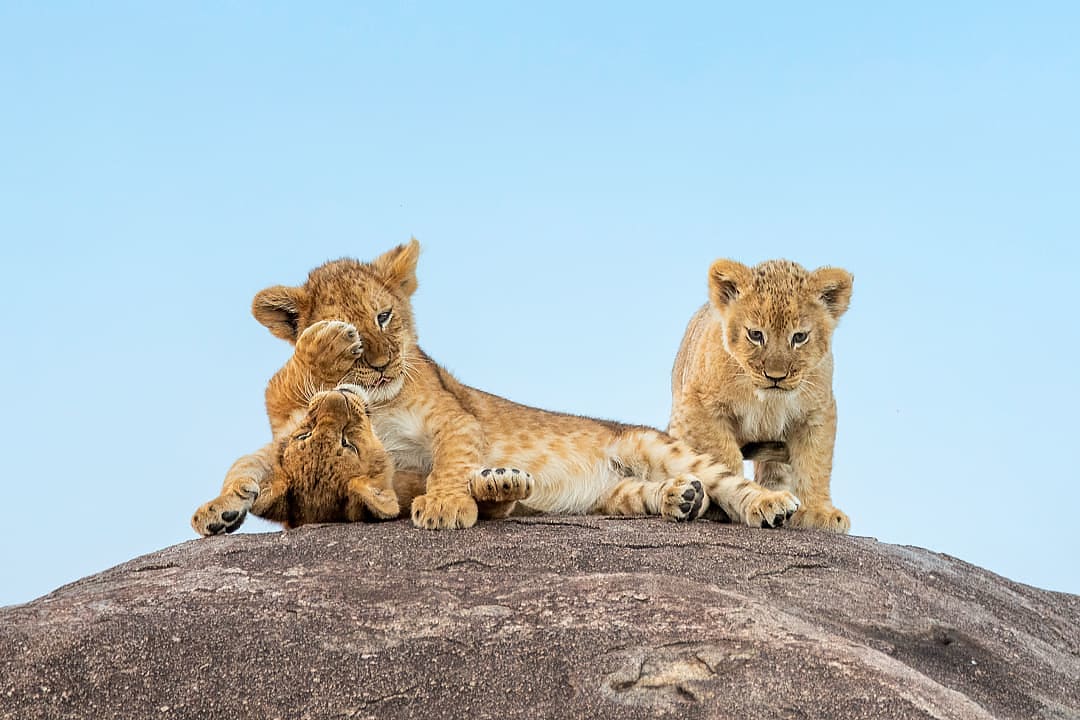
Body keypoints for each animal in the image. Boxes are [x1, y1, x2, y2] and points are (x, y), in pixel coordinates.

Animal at [192, 239, 800, 534]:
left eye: (384, 317)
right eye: (362, 338)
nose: (383, 366)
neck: (377, 404)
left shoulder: (453, 417)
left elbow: (452, 458)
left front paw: (444, 506)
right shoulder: (285, 430)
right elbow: (250, 459)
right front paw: (218, 511)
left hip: (655, 443)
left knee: (728, 483)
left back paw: (769, 505)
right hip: (612, 496)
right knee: (649, 495)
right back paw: (679, 499)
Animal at [668, 258, 853, 533]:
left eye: (799, 337)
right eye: (755, 335)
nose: (775, 376)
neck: (768, 401)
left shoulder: (817, 413)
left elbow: (814, 463)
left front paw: (818, 511)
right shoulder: (698, 407)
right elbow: (723, 460)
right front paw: (741, 503)